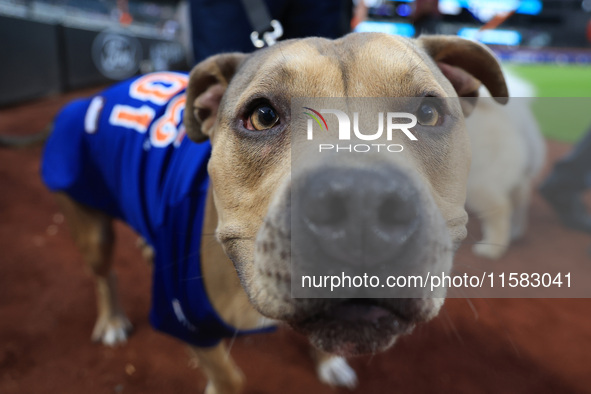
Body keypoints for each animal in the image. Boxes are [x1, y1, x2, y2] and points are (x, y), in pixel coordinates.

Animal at [48, 34, 506, 394]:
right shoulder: (188, 324)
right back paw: (111, 320)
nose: (361, 206)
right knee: (102, 273)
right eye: (262, 115)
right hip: (90, 225)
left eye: (427, 113)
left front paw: (328, 364)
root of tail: (99, 93)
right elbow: (230, 378)